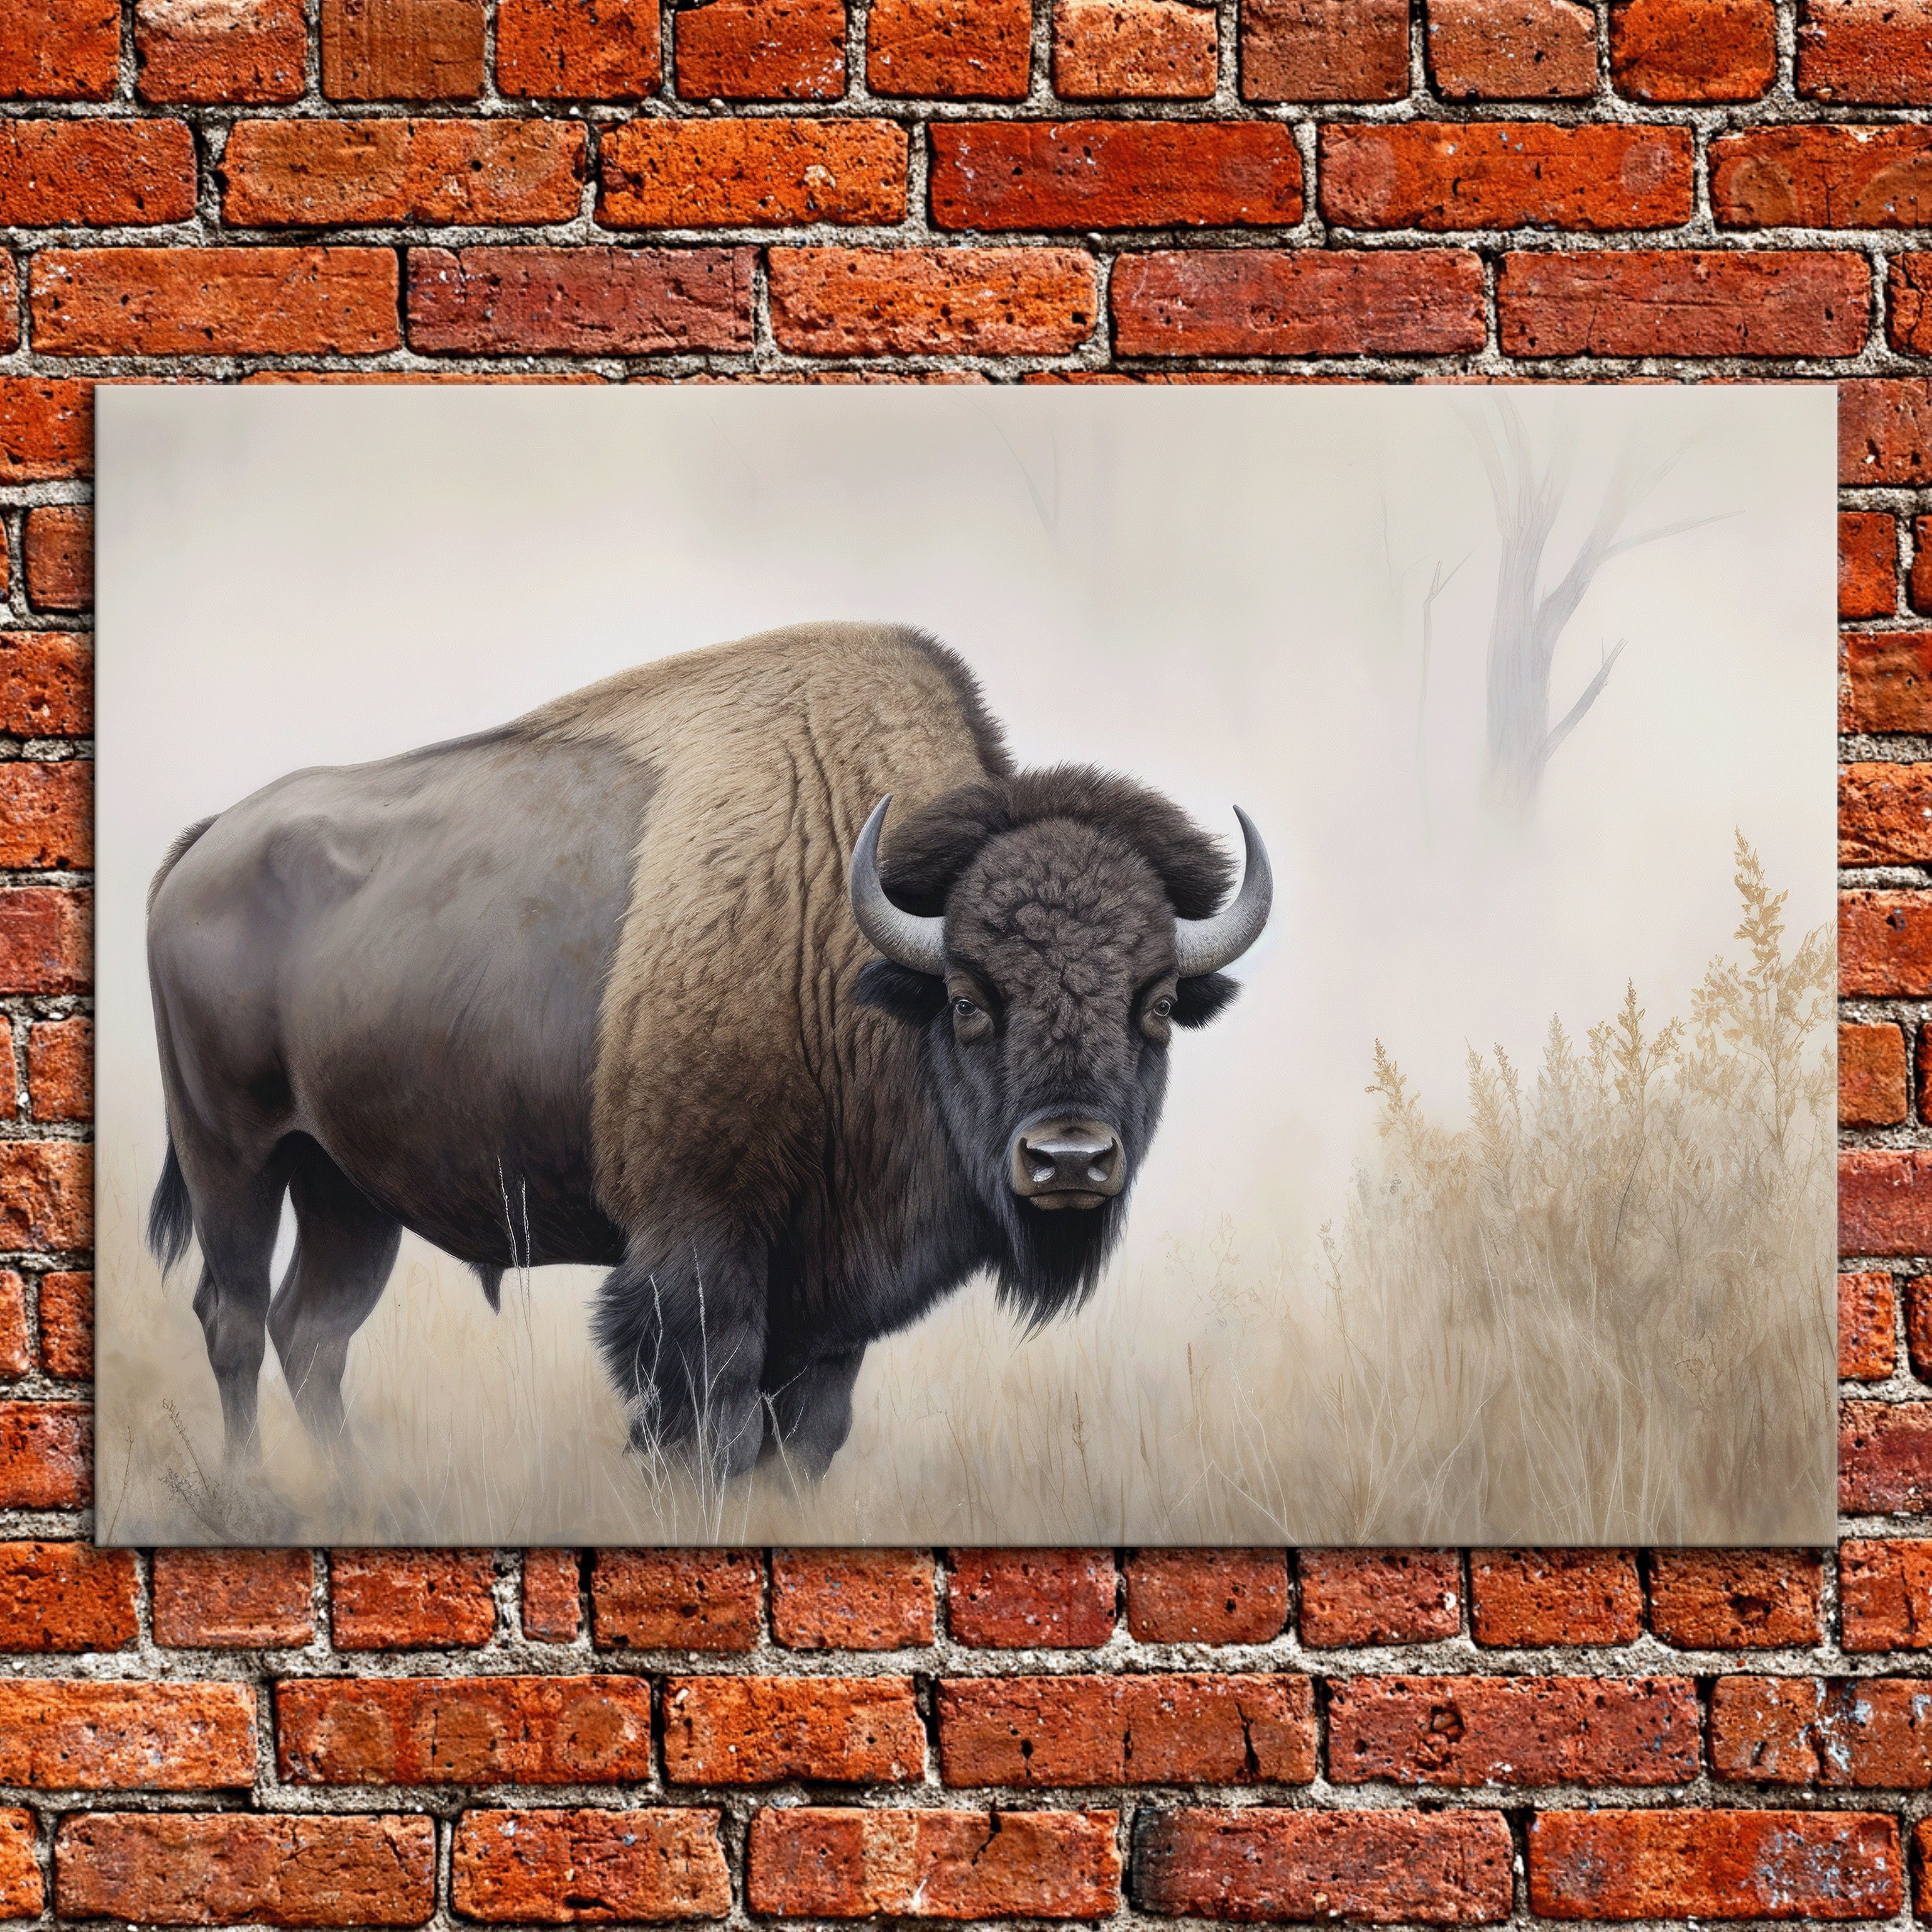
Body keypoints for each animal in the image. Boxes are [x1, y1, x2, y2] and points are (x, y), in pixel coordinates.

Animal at [146, 622, 1271, 1480]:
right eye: (966, 1001)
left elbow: (805, 1438)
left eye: (1156, 1004)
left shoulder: (825, 1308)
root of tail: (208, 841)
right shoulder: (701, 1255)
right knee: (233, 1317)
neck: (849, 948)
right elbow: (708, 1429)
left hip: (347, 1190)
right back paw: (252, 1489)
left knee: (313, 1333)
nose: (1068, 1161)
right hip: (234, 1157)